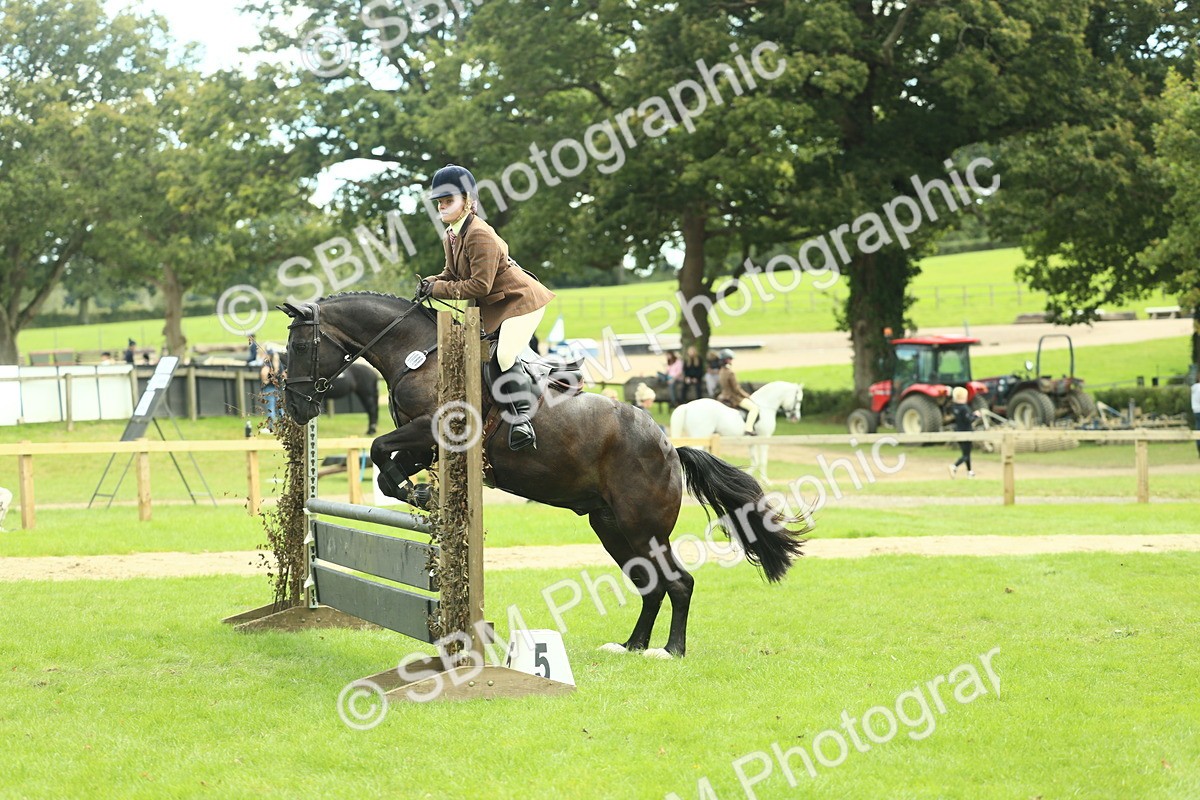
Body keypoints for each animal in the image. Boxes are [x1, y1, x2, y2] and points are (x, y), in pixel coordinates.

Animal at [669, 382, 803, 483]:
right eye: (798, 400)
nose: (796, 418)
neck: (765, 406)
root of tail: (687, 406)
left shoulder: (752, 441)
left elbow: (754, 460)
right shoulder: (764, 438)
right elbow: (763, 460)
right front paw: (766, 481)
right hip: (701, 435)